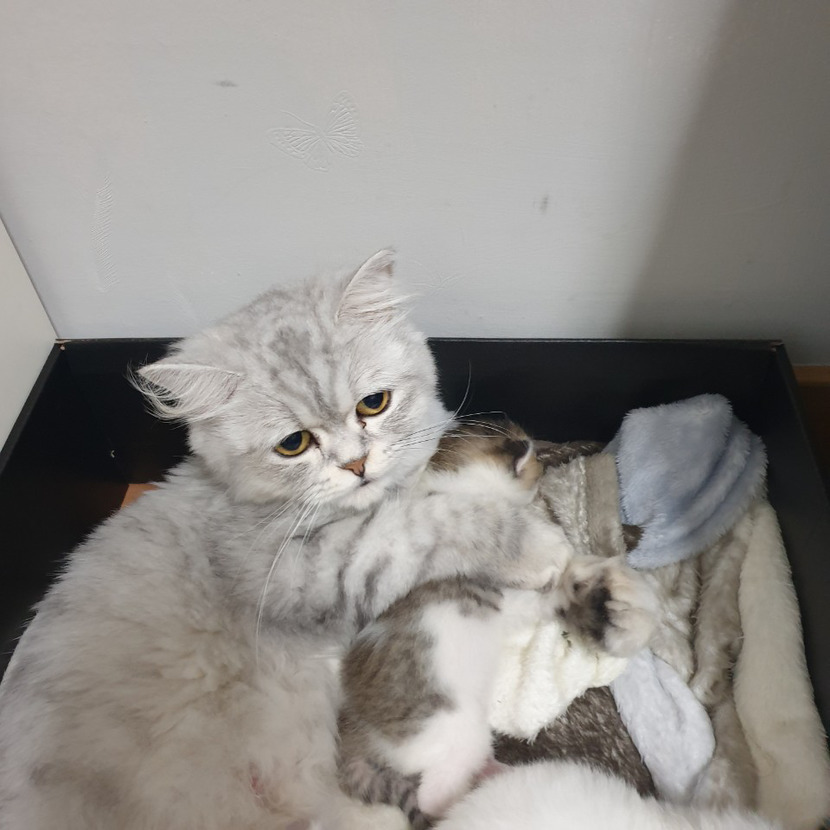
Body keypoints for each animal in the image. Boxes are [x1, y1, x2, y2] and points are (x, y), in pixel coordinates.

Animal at [0, 251, 654, 830]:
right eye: (293, 444)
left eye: (374, 404)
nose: (356, 464)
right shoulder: (307, 568)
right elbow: (436, 526)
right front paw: (541, 543)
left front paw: (614, 599)